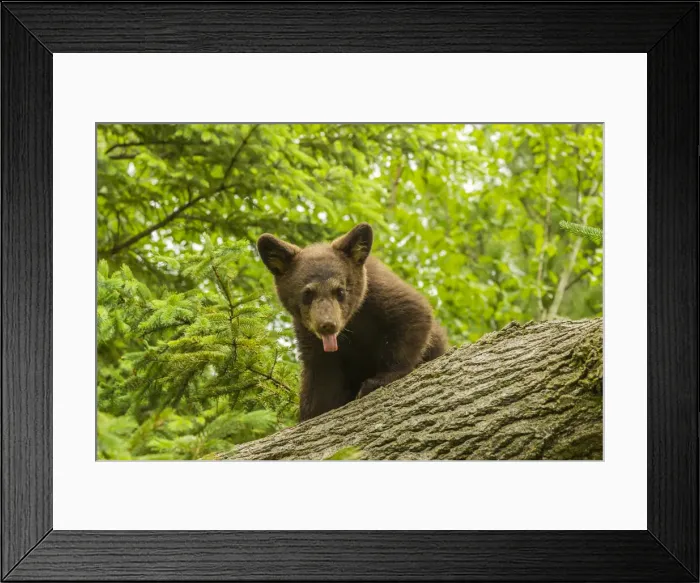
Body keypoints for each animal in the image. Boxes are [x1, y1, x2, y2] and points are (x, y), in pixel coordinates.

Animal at [257, 223, 448, 421]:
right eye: (307, 293)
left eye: (340, 291)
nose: (327, 324)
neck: (353, 324)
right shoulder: (309, 336)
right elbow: (321, 377)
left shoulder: (380, 293)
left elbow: (413, 313)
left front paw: (377, 381)